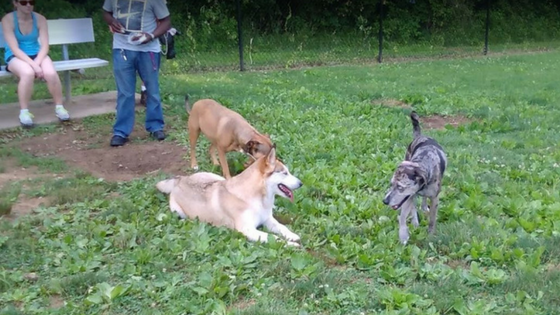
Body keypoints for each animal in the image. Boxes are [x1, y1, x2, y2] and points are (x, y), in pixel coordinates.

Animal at [155, 147, 304, 246]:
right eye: (284, 173)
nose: (301, 183)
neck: (258, 199)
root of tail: (180, 180)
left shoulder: (268, 220)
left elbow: (282, 227)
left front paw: (292, 235)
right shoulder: (248, 230)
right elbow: (273, 238)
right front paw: (291, 245)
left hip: (216, 177)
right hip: (179, 212)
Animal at [382, 111, 448, 244]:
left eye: (400, 187)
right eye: (391, 184)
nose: (385, 201)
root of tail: (420, 136)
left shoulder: (435, 199)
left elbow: (432, 220)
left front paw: (430, 235)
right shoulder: (408, 196)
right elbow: (403, 216)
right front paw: (403, 235)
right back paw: (415, 222)